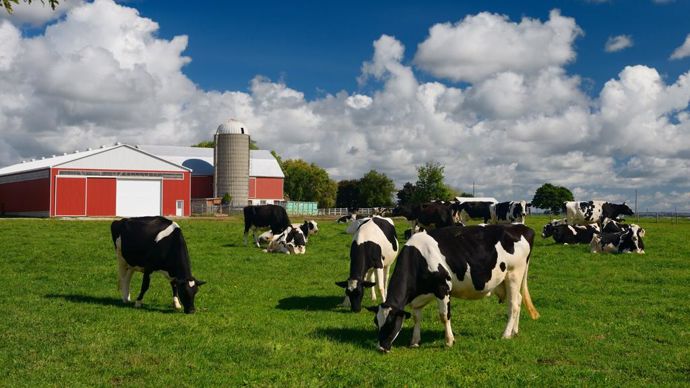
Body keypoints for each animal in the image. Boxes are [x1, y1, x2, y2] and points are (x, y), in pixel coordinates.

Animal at [368, 223, 536, 354]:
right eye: (376, 322)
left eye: (390, 323)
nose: (380, 348)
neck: (419, 257)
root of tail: (522, 227)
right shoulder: (419, 297)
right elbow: (416, 317)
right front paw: (415, 341)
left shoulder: (442, 288)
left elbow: (444, 316)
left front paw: (449, 341)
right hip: (507, 281)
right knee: (519, 300)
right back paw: (514, 331)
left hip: (514, 274)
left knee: (513, 305)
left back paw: (506, 334)